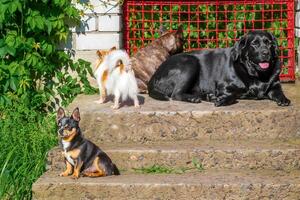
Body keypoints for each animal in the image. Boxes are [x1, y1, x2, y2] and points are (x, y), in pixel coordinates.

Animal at [148, 30, 290, 106]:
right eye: (255, 44)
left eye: (269, 43)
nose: (266, 53)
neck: (256, 75)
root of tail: (153, 76)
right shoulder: (223, 85)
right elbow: (232, 96)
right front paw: (222, 100)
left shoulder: (275, 85)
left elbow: (279, 92)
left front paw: (284, 99)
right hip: (190, 63)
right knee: (176, 93)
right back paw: (196, 98)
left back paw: (207, 96)